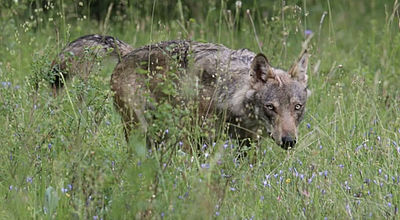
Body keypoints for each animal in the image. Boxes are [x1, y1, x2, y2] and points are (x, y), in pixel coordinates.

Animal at [109, 39, 310, 150]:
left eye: (297, 107)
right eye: (270, 107)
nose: (289, 141)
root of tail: (126, 54)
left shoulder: (249, 142)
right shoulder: (192, 138)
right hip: (140, 130)